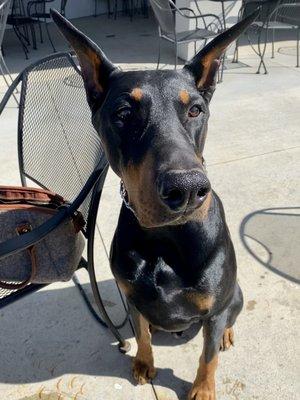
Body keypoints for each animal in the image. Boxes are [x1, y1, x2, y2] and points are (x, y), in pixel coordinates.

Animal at [51, 9, 258, 400]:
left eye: (196, 109)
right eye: (122, 113)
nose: (187, 189)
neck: (167, 239)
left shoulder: (215, 307)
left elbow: (207, 356)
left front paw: (202, 389)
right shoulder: (133, 299)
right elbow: (142, 334)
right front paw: (144, 364)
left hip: (235, 293)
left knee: (228, 318)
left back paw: (226, 334)